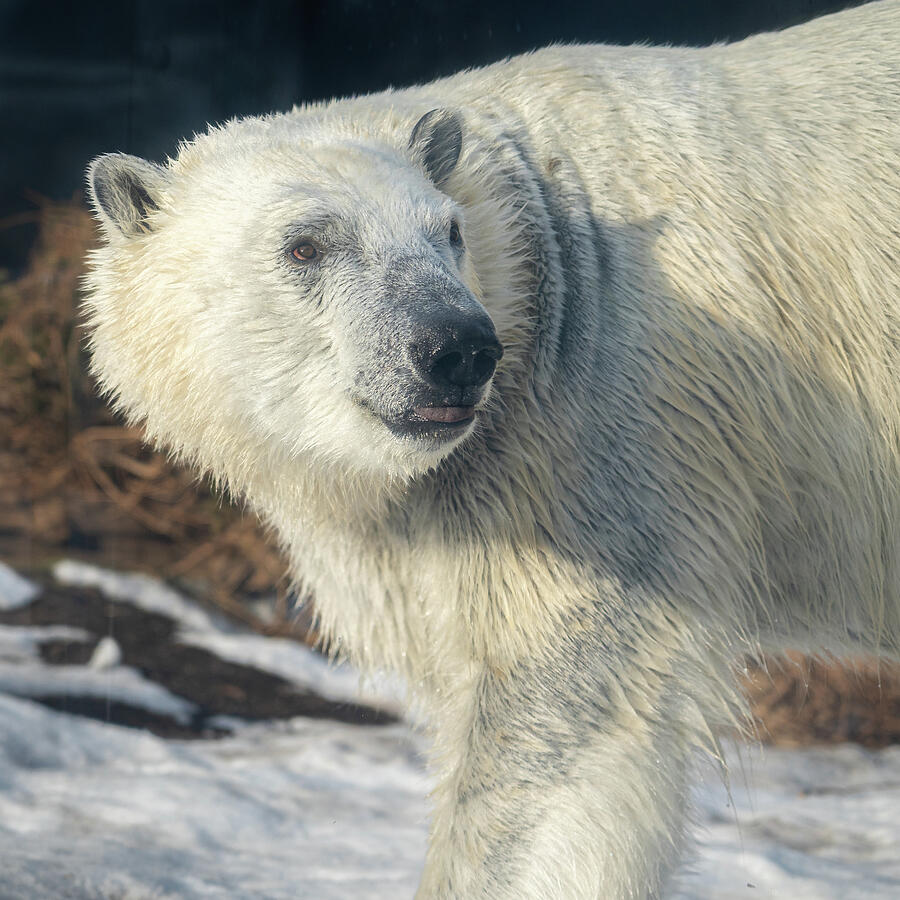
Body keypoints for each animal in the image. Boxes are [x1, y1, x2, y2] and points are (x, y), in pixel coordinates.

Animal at [83, 1, 900, 897]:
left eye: (447, 232)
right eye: (306, 245)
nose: (459, 348)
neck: (554, 267)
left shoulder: (602, 449)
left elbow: (558, 723)